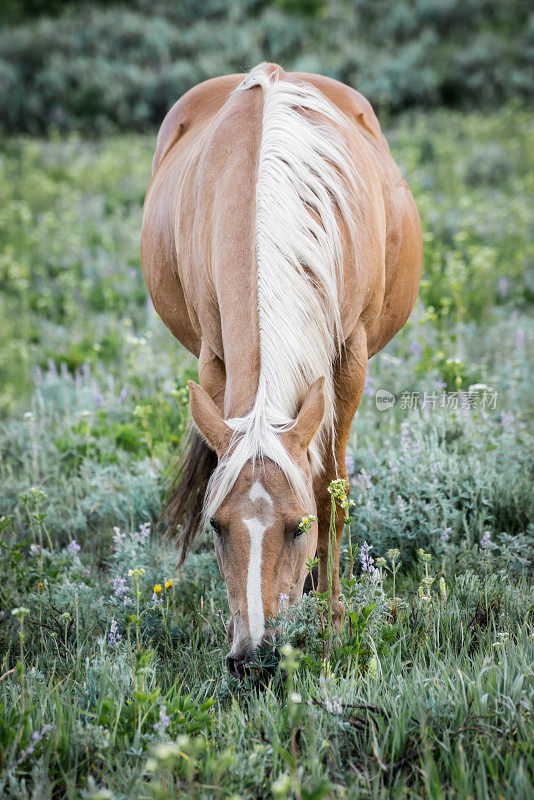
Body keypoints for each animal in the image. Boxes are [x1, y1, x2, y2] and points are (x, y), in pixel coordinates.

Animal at [141, 61, 422, 676]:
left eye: (297, 527)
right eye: (217, 527)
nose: (253, 658)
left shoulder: (348, 361)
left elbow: (330, 492)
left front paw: (332, 621)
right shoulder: (215, 361)